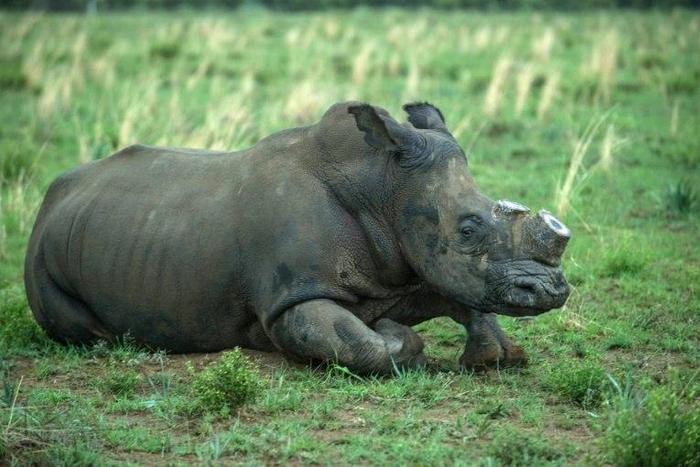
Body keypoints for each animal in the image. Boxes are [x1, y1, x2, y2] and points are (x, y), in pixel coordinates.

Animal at [25, 101, 571, 374]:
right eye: (468, 229)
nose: (552, 291)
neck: (383, 187)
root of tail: (50, 199)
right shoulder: (291, 298)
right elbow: (364, 346)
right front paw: (398, 337)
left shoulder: (399, 267)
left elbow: (457, 294)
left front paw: (495, 356)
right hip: (44, 260)